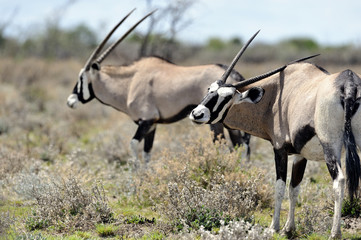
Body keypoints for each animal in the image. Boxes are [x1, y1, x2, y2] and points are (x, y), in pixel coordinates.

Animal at [67, 9, 250, 167]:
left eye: (81, 78)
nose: (70, 101)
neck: (130, 82)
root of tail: (236, 77)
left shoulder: (146, 120)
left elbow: (133, 145)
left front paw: (136, 176)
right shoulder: (153, 124)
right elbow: (147, 152)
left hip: (215, 123)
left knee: (227, 147)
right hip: (231, 125)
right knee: (241, 146)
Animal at [190, 32, 358, 240]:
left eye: (227, 97)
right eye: (209, 90)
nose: (197, 114)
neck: (276, 94)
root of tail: (348, 83)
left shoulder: (279, 149)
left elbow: (279, 186)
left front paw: (274, 227)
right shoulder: (300, 155)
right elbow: (294, 187)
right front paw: (289, 228)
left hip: (331, 148)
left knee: (339, 181)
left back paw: (335, 233)